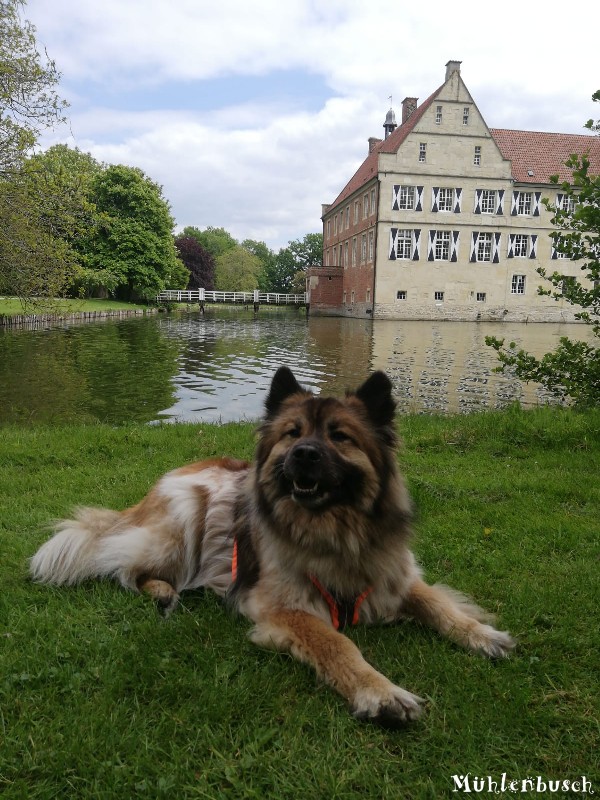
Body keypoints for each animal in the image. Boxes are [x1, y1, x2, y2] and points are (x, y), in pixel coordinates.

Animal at [30, 366, 512, 728]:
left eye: (340, 436)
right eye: (292, 433)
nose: (303, 454)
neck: (334, 531)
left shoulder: (394, 576)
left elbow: (440, 606)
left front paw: (482, 634)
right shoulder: (281, 605)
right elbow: (337, 644)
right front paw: (380, 692)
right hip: (182, 522)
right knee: (124, 567)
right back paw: (164, 592)